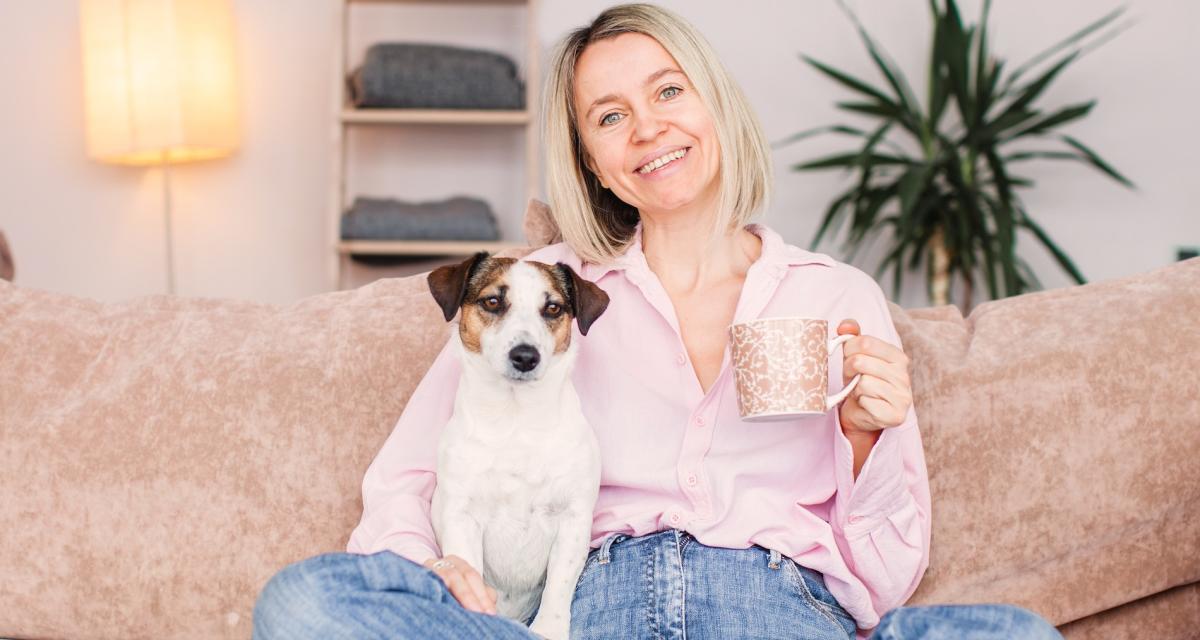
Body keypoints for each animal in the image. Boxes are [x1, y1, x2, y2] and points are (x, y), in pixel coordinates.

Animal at [427, 252, 609, 633]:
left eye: (553, 308)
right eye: (492, 302)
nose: (525, 356)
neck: (516, 418)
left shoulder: (572, 519)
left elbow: (558, 587)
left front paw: (549, 629)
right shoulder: (462, 517)